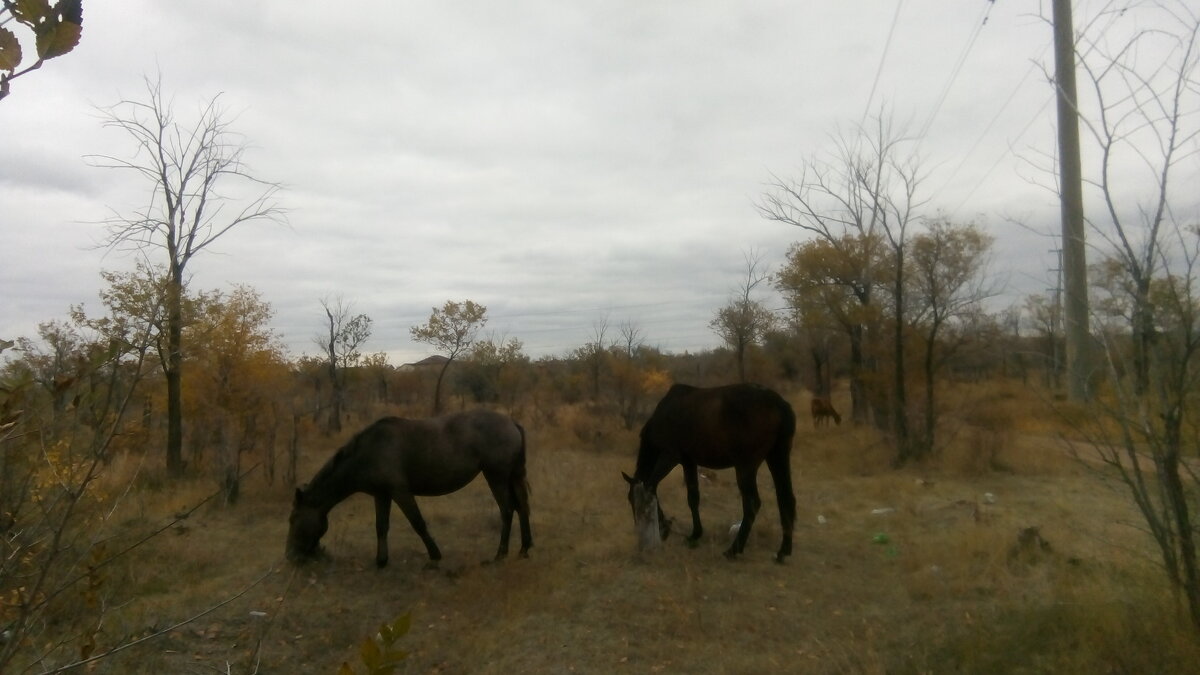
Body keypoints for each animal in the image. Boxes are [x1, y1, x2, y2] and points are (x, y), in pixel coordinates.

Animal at [285, 408, 530, 564]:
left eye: (293, 519)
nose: (290, 557)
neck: (368, 453)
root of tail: (511, 422)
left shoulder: (400, 492)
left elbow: (417, 523)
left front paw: (434, 556)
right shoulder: (381, 494)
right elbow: (381, 526)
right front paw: (381, 561)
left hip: (496, 477)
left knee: (507, 510)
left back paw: (500, 555)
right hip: (511, 476)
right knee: (522, 508)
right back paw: (524, 549)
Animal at [619, 381, 796, 559]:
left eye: (633, 501)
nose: (639, 529)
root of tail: (779, 404)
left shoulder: (669, 457)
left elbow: (651, 487)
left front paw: (664, 526)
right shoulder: (688, 462)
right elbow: (693, 498)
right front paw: (694, 534)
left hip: (746, 467)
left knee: (752, 503)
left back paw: (733, 550)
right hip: (777, 458)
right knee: (786, 498)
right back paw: (783, 552)